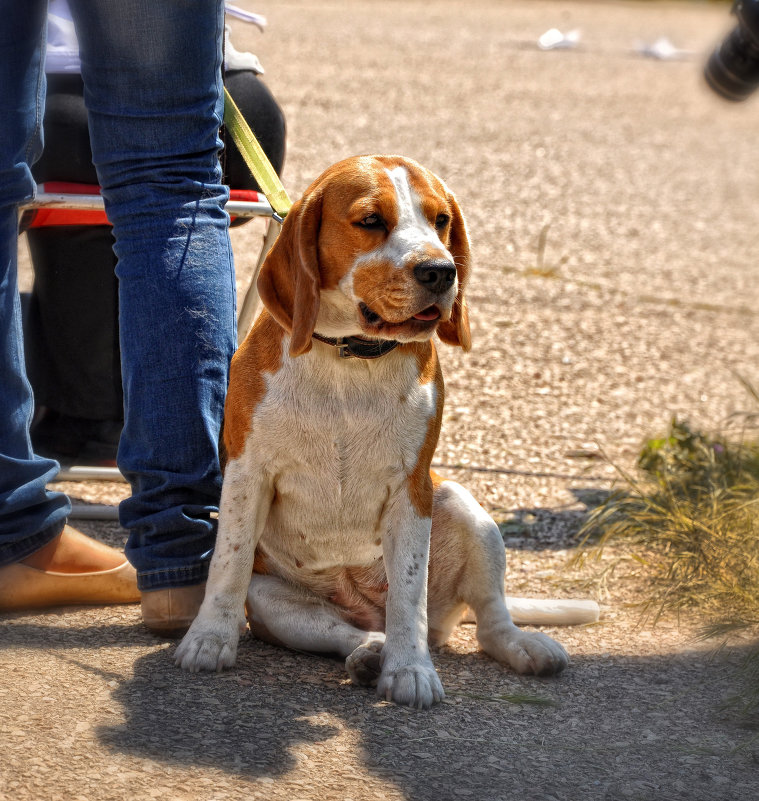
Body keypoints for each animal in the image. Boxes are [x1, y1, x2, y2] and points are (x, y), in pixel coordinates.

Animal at [177, 155, 568, 708]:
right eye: (370, 221)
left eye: (441, 220)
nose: (441, 271)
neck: (350, 359)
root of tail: (362, 602)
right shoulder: (246, 474)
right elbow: (227, 567)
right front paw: (209, 640)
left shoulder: (411, 489)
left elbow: (408, 596)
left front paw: (410, 671)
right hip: (272, 598)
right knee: (349, 632)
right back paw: (368, 653)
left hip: (462, 508)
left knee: (489, 622)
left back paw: (520, 646)